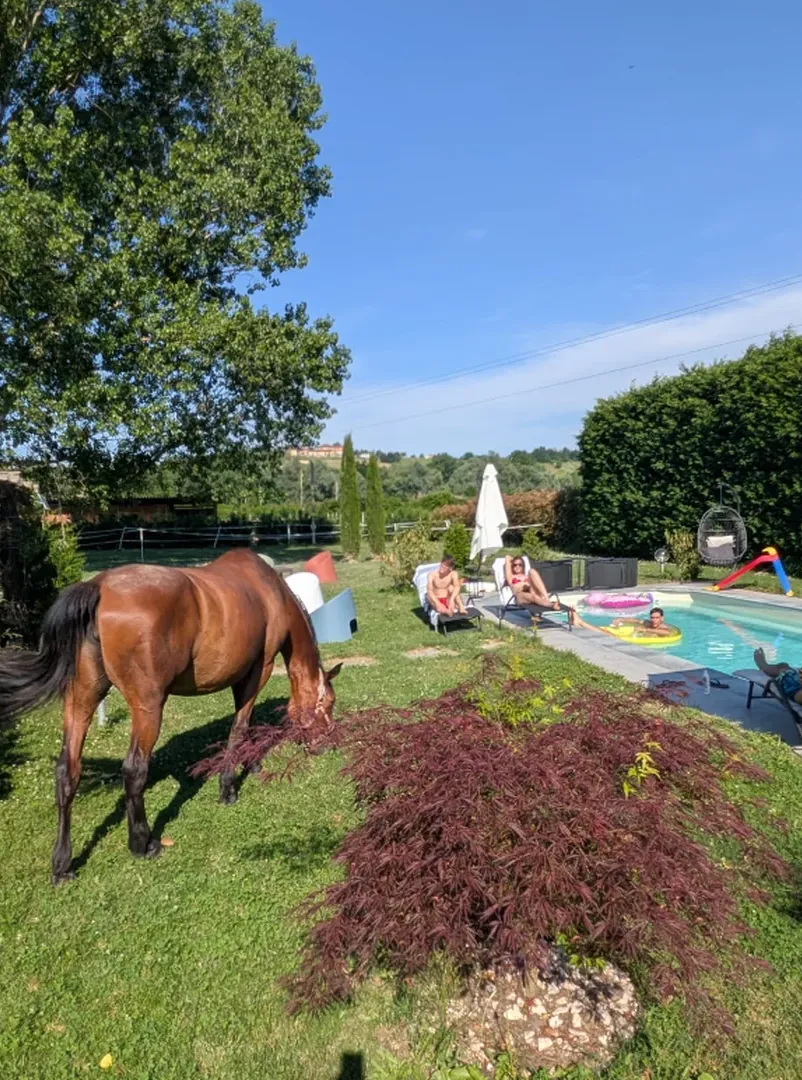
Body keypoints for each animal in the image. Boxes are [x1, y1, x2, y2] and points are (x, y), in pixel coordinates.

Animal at [0, 548, 341, 884]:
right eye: (329, 703)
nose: (328, 743)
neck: (269, 591)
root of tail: (98, 586)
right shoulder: (259, 671)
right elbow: (240, 727)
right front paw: (229, 787)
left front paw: (252, 763)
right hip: (148, 707)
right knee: (134, 769)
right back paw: (143, 843)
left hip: (81, 701)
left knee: (66, 772)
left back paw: (62, 865)